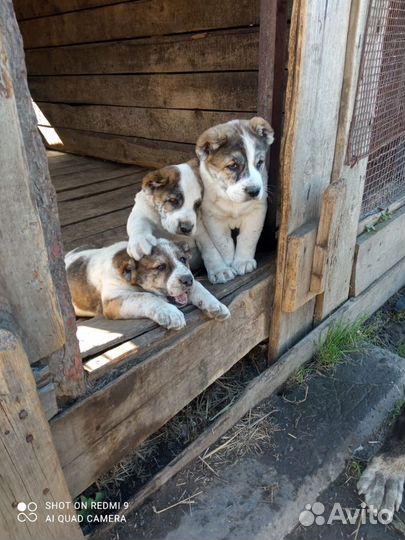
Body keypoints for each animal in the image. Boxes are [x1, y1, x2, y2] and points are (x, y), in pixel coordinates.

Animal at [66, 239, 230, 332]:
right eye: (160, 267)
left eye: (183, 259)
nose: (188, 280)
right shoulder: (112, 300)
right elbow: (145, 296)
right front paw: (170, 313)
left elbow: (199, 287)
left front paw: (215, 304)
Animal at [195, 118, 274, 278]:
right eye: (233, 166)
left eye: (260, 162)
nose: (254, 191)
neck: (233, 202)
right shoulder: (213, 217)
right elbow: (224, 243)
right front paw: (228, 263)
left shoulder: (256, 212)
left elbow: (248, 238)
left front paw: (243, 262)